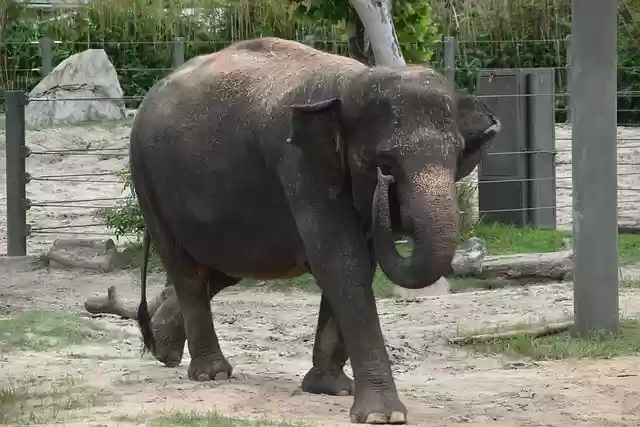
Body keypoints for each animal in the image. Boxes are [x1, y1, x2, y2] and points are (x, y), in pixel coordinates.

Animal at [130, 37, 501, 425]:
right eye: (384, 164)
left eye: (457, 157)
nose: (385, 192)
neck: (352, 83)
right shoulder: (299, 165)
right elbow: (341, 262)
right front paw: (382, 415)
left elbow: (356, 264)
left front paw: (331, 388)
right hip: (147, 181)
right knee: (187, 270)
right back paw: (210, 373)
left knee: (221, 270)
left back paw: (164, 344)